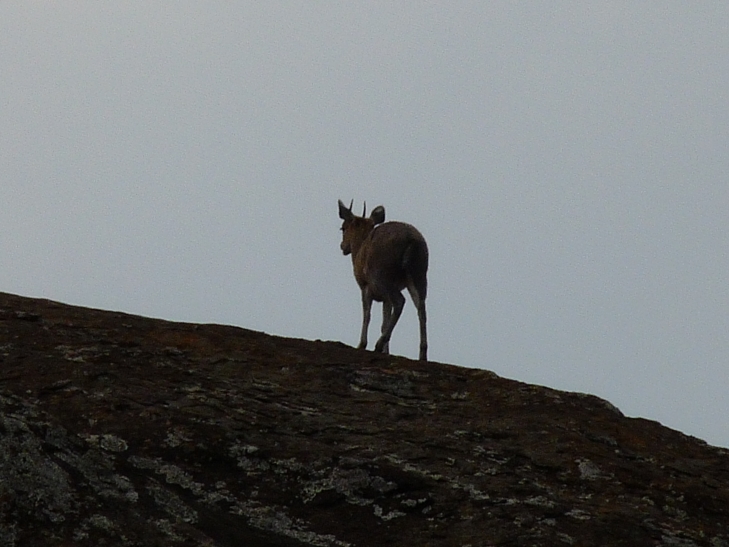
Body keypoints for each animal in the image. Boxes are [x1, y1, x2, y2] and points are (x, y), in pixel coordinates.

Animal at [338, 199, 429, 361]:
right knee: (421, 308)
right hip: (420, 272)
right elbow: (384, 322)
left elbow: (367, 315)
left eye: (343, 228)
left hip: (382, 273)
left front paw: (362, 344)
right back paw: (422, 354)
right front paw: (387, 351)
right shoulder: (384, 297)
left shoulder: (365, 286)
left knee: (400, 301)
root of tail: (411, 240)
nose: (342, 247)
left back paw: (378, 344)